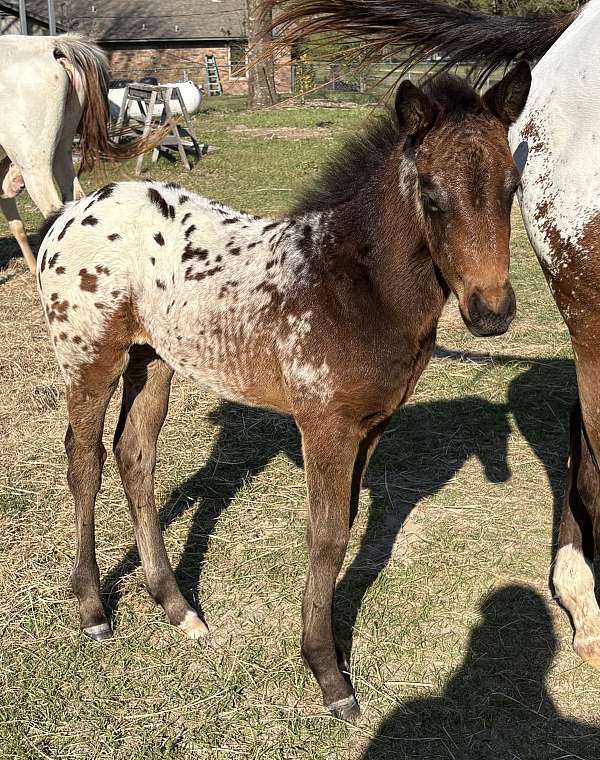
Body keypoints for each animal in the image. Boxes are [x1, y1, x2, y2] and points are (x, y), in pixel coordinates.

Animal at [36, 67, 529, 720]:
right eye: (430, 195)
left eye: (512, 188)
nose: (491, 313)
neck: (353, 283)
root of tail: (72, 212)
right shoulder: (325, 427)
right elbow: (325, 538)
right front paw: (328, 674)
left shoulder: (373, 425)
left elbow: (346, 526)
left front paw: (331, 653)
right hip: (90, 358)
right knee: (84, 461)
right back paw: (93, 606)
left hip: (153, 359)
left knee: (134, 456)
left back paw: (176, 605)